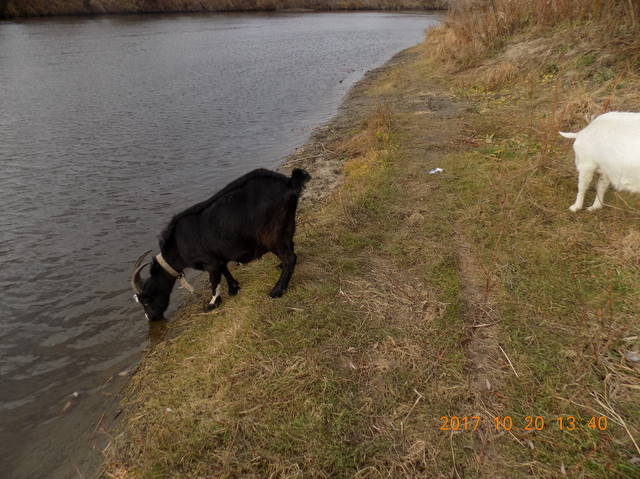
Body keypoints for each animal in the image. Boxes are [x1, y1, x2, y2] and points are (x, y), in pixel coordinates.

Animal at [130, 167, 310, 320]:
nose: (151, 318)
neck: (177, 245)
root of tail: (289, 182)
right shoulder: (218, 258)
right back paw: (279, 267)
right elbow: (225, 270)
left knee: (290, 258)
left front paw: (212, 304)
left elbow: (214, 281)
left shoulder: (209, 263)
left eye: (146, 300)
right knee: (290, 247)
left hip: (272, 235)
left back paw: (276, 291)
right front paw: (233, 288)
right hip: (287, 226)